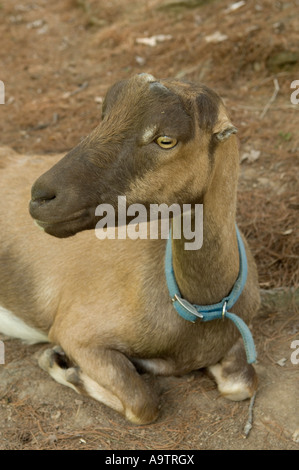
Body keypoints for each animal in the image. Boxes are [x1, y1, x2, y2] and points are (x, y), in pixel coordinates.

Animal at [0, 74, 260, 426]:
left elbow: (242, 385)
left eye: (165, 140)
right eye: (104, 117)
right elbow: (142, 404)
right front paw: (58, 363)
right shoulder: (77, 332)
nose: (41, 196)